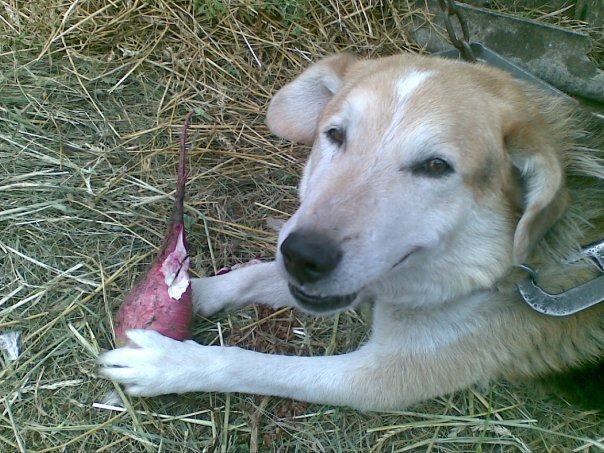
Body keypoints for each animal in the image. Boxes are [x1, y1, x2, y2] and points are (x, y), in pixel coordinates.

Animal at [100, 52, 604, 410]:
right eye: (335, 135)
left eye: (436, 166)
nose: (303, 256)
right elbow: (252, 275)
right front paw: (191, 292)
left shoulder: (385, 377)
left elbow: (255, 365)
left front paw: (170, 363)